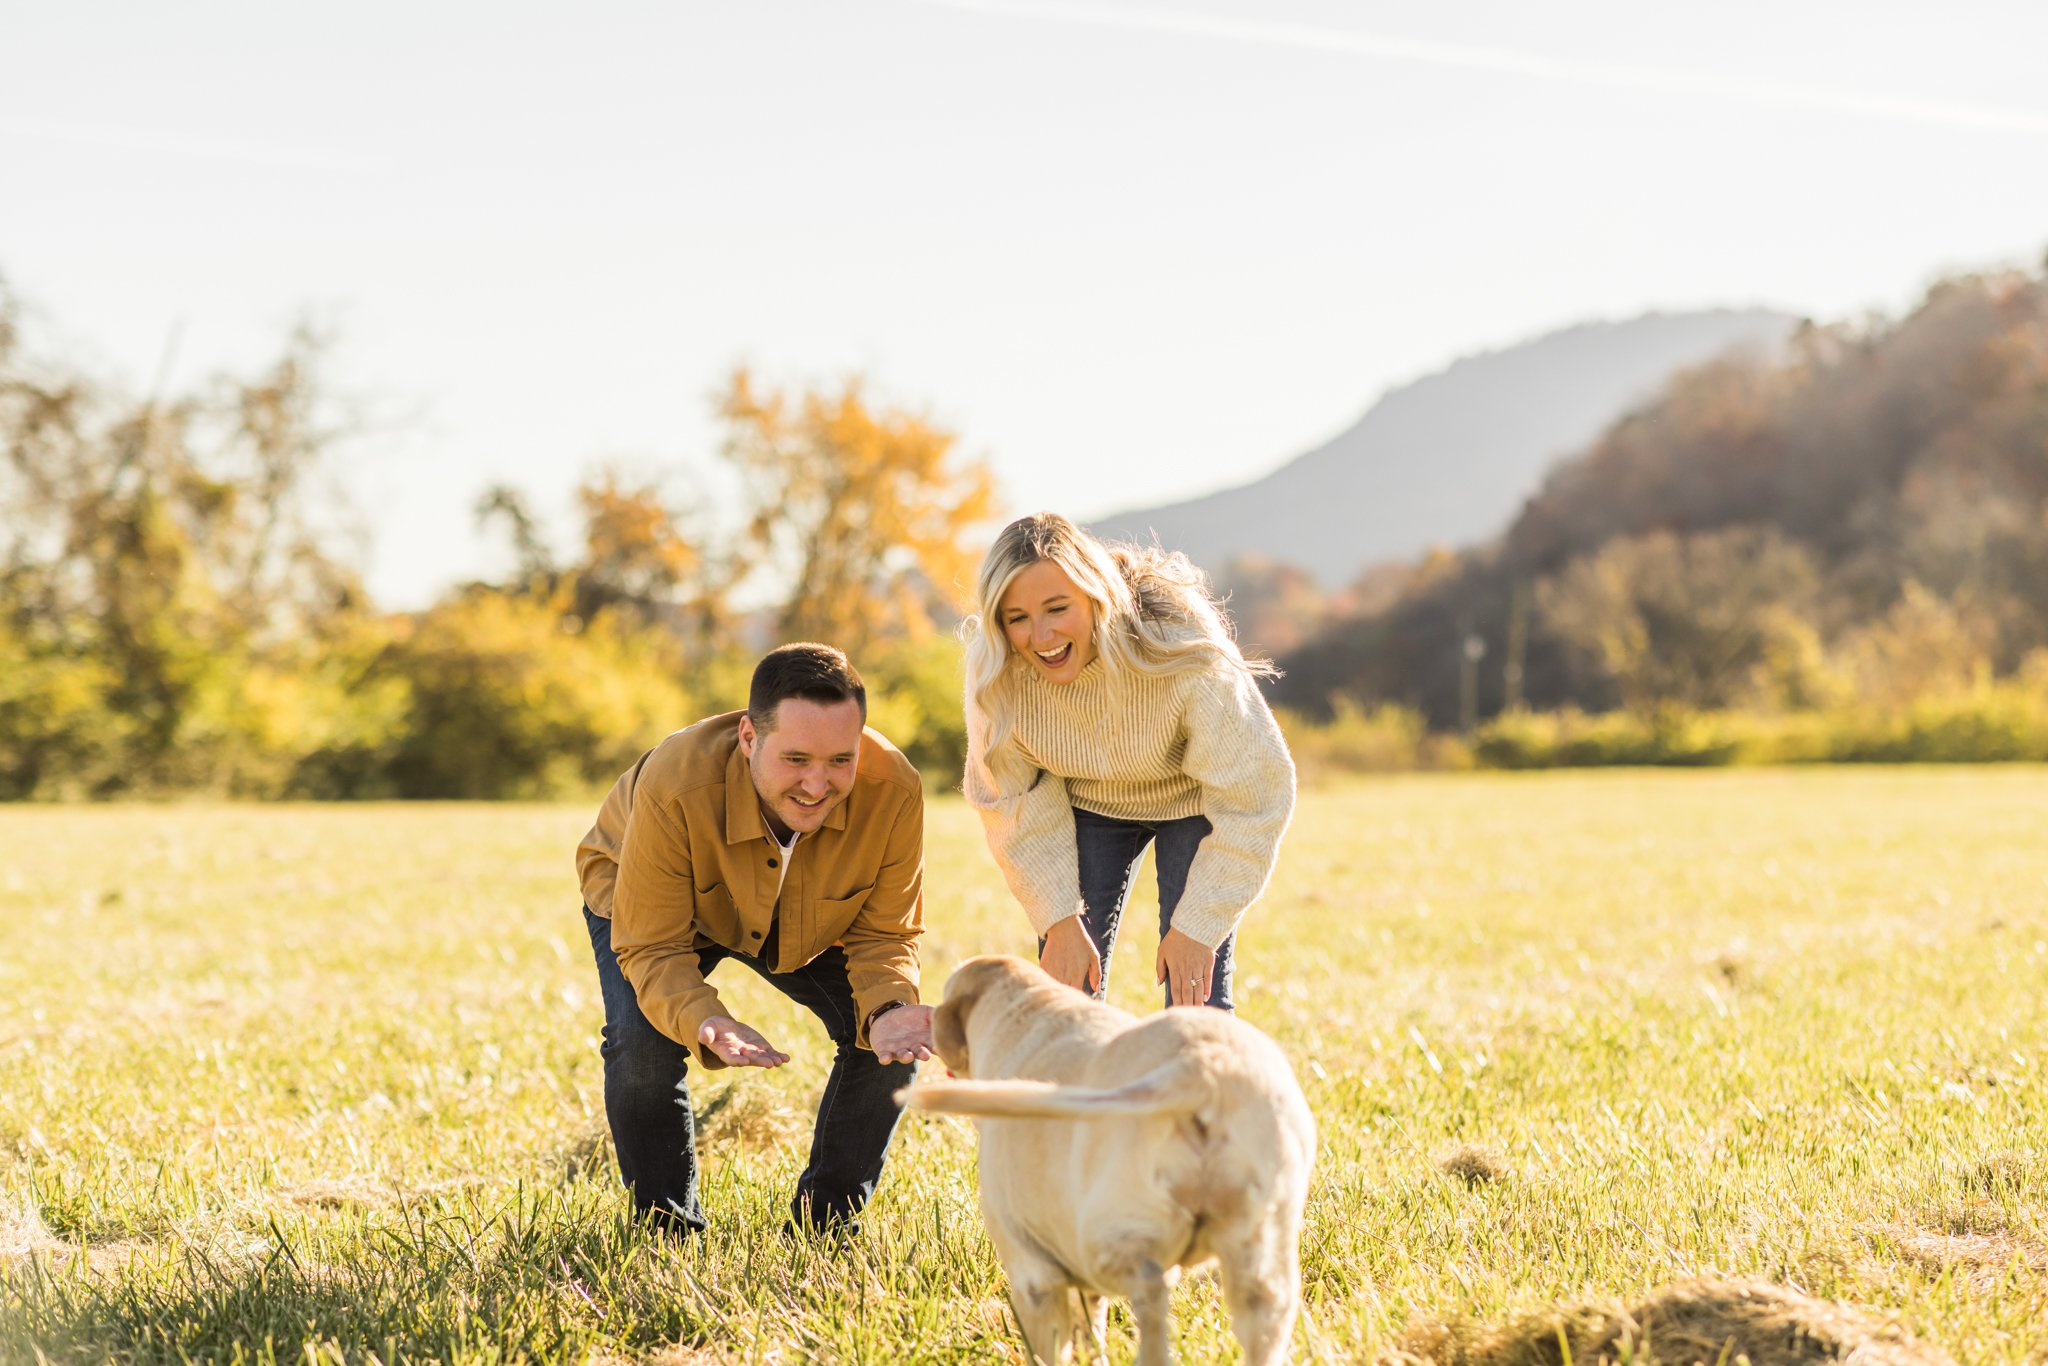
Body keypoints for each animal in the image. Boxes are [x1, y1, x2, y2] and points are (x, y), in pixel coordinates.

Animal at [897, 958, 1310, 1359]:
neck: (1025, 1004)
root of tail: (1201, 1069)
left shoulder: (1034, 1273)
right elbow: (1091, 1332)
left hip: (1106, 1232)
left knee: (1149, 1286)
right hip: (1263, 1253)